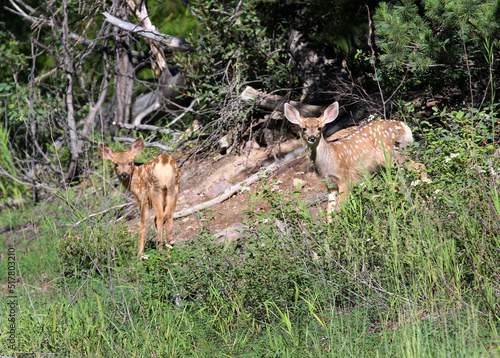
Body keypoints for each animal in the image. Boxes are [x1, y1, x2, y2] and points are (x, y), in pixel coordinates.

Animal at [284, 100, 428, 222]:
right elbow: (329, 213)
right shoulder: (330, 185)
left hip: (388, 155)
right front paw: (331, 232)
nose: (312, 138)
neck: (328, 162)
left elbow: (340, 209)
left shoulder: (346, 178)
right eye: (304, 128)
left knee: (415, 168)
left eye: (319, 128)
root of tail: (404, 126)